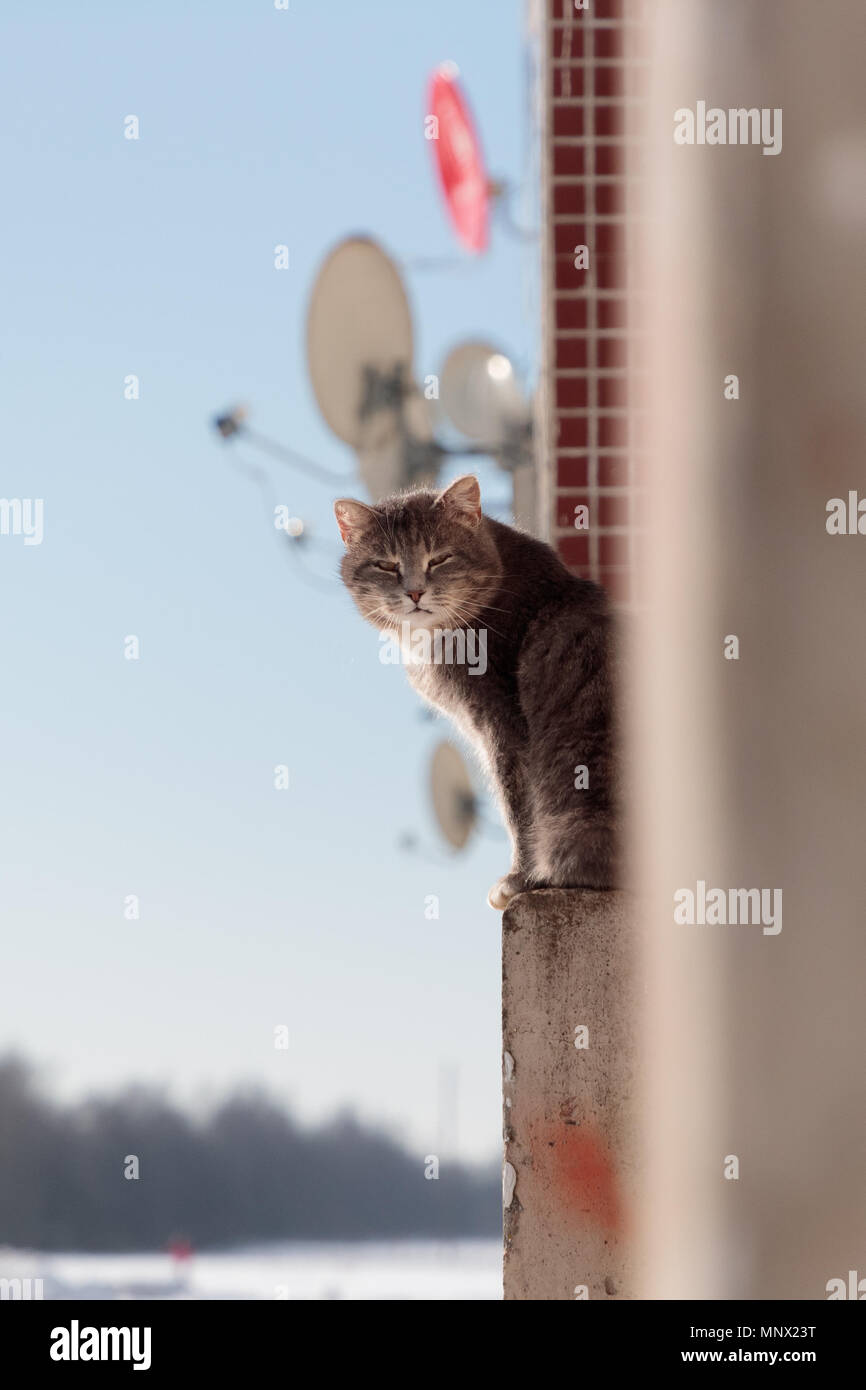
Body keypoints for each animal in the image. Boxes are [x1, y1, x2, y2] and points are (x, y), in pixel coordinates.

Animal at [333, 475, 622, 911]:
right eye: (386, 564)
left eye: (439, 559)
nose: (414, 593)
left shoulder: (503, 727)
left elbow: (518, 809)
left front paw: (520, 879)